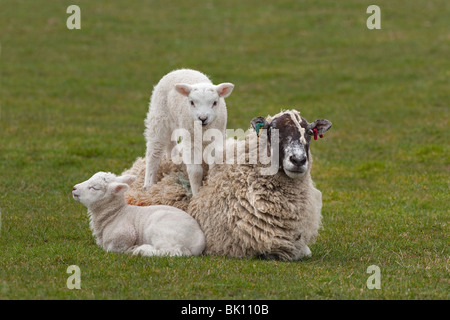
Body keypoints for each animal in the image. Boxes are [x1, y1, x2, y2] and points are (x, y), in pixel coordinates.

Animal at [72, 171, 206, 256]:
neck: (115, 214)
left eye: (94, 188)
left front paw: (132, 249)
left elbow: (113, 249)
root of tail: (200, 241)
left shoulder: (124, 234)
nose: (74, 188)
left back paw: (143, 250)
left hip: (162, 231)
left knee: (173, 252)